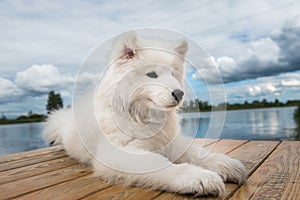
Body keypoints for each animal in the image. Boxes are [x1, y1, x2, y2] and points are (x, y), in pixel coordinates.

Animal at [44, 31, 246, 197]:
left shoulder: (171, 142)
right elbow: (163, 166)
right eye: (152, 74)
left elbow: (198, 153)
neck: (144, 117)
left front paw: (227, 165)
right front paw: (199, 178)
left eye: (173, 74)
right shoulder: (119, 153)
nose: (179, 94)